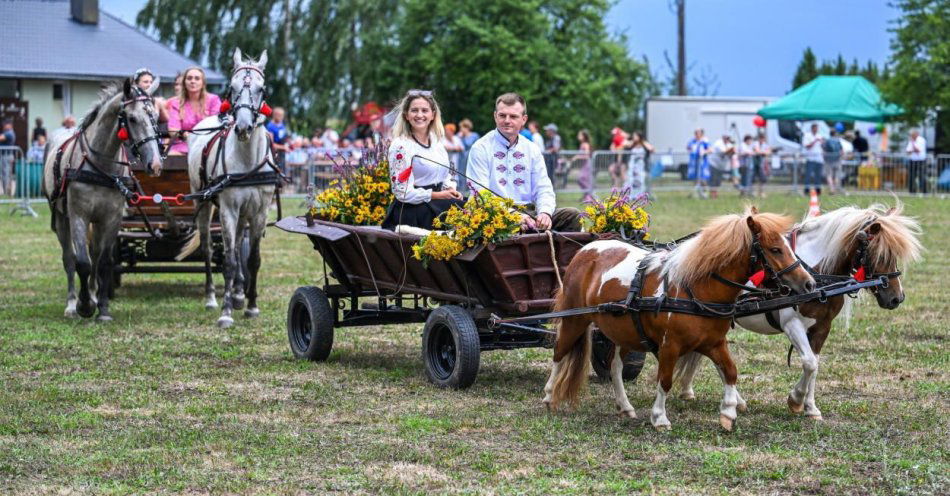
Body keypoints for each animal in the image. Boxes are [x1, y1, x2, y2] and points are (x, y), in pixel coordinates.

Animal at [43, 75, 164, 320]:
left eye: (155, 117)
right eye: (132, 118)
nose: (155, 164)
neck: (101, 165)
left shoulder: (111, 218)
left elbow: (104, 262)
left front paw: (102, 307)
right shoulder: (79, 216)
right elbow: (82, 263)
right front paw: (84, 306)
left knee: (96, 254)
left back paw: (93, 293)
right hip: (61, 217)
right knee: (69, 258)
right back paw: (72, 303)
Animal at [178, 48, 278, 328]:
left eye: (261, 88)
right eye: (232, 87)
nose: (243, 127)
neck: (247, 160)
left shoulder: (259, 212)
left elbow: (252, 259)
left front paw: (251, 305)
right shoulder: (228, 210)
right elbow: (230, 261)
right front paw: (225, 312)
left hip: (244, 214)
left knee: (236, 245)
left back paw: (238, 293)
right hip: (203, 204)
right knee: (209, 248)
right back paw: (213, 297)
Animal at [544, 208, 820, 430]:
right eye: (775, 249)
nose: (809, 283)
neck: (695, 289)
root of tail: (586, 250)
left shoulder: (714, 342)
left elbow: (730, 371)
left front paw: (729, 412)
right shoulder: (670, 345)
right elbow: (665, 380)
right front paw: (659, 417)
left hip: (626, 332)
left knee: (615, 366)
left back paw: (624, 406)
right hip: (575, 320)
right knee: (560, 352)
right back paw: (548, 395)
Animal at [676, 203, 924, 420]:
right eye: (880, 254)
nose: (896, 298)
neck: (815, 273)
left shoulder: (822, 326)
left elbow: (815, 365)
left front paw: (811, 408)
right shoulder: (792, 325)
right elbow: (809, 363)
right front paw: (795, 400)